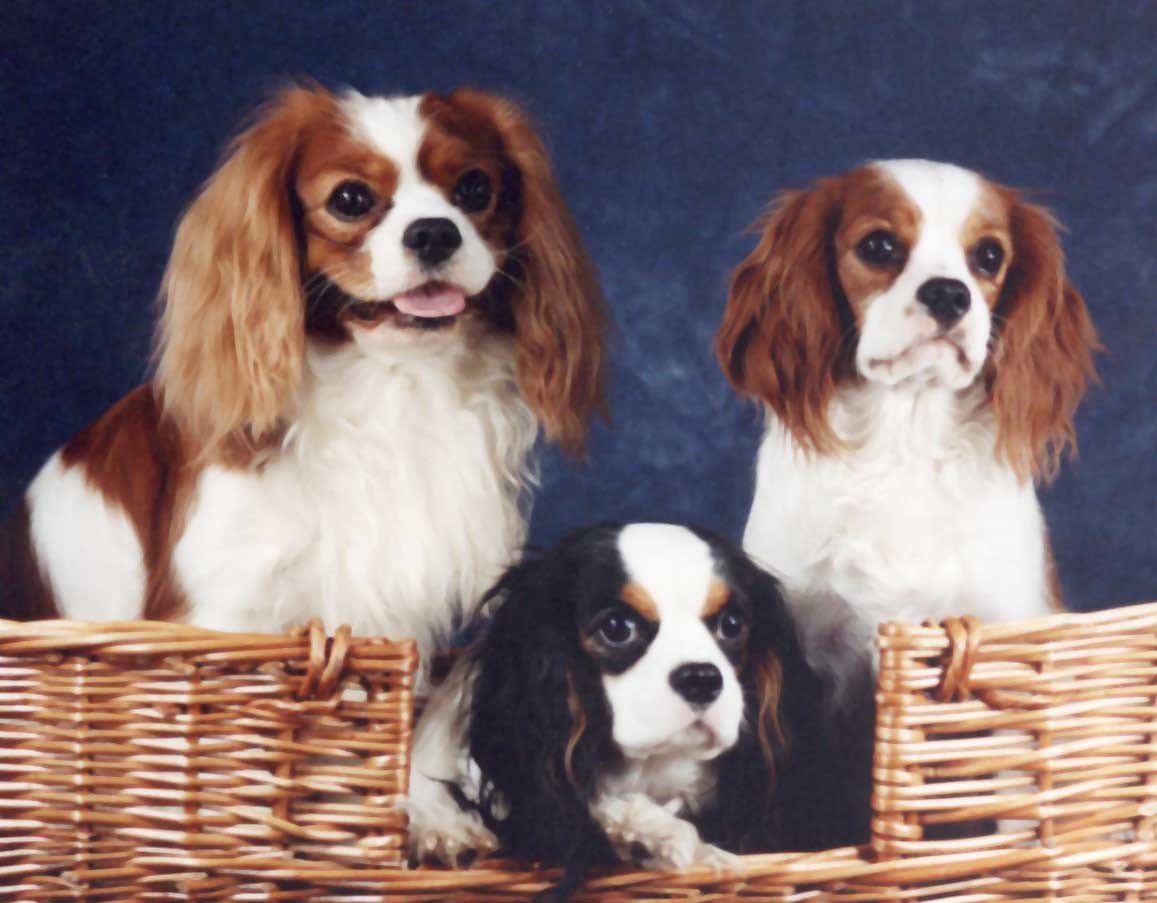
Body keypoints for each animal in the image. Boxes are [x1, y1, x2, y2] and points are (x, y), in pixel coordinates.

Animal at [411, 520, 846, 903]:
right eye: (618, 628)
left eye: (732, 625)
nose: (702, 678)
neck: (647, 769)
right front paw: (650, 831)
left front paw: (652, 834)